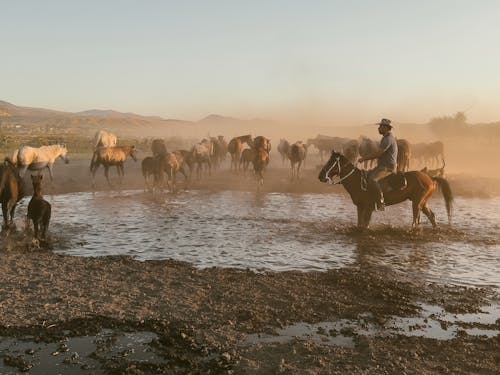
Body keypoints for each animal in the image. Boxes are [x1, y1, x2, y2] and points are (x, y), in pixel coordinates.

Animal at [320, 151, 454, 231]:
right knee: (431, 216)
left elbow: (365, 225)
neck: (358, 182)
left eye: (332, 162)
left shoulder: (369, 208)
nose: (321, 176)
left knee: (416, 220)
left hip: (417, 202)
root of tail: (430, 178)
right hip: (423, 201)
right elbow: (360, 225)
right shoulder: (360, 207)